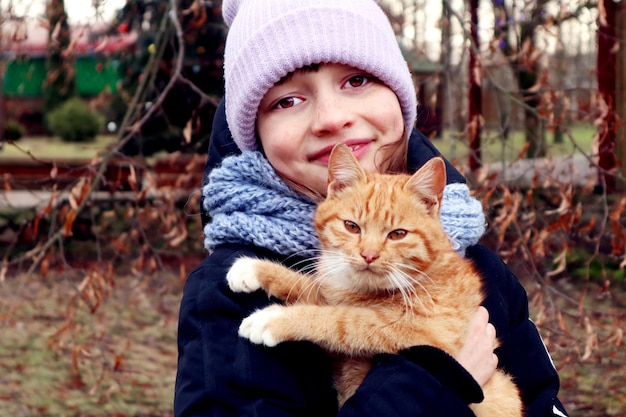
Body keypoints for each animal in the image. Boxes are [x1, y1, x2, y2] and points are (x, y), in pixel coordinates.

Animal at [227, 142, 520, 412]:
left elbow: (341, 320)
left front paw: (274, 319)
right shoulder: (330, 294)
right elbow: (307, 287)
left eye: (398, 234)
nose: (368, 255)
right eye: (351, 227)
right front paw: (253, 269)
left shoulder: (421, 331)